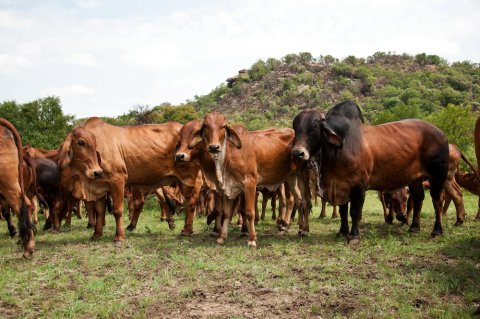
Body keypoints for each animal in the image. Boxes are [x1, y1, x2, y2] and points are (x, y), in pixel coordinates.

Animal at [59, 119, 202, 244]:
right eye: (81, 143)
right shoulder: (99, 186)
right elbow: (99, 211)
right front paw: (96, 234)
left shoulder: (118, 180)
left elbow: (117, 210)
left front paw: (119, 237)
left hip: (188, 180)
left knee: (190, 203)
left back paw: (186, 230)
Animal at [174, 115, 310, 248]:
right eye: (206, 126)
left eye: (223, 126)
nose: (214, 147)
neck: (230, 153)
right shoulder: (228, 188)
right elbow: (226, 213)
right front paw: (222, 237)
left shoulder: (250, 183)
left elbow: (249, 212)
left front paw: (252, 239)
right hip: (291, 177)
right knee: (297, 200)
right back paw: (295, 228)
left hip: (302, 175)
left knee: (304, 201)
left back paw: (303, 229)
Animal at [292, 102, 450, 245]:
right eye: (295, 128)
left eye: (314, 127)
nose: (297, 153)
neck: (338, 150)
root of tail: (441, 133)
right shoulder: (341, 185)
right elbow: (343, 210)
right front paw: (342, 232)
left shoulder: (358, 185)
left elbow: (355, 211)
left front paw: (354, 236)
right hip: (415, 178)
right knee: (418, 198)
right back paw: (414, 228)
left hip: (437, 175)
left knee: (437, 200)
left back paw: (437, 231)